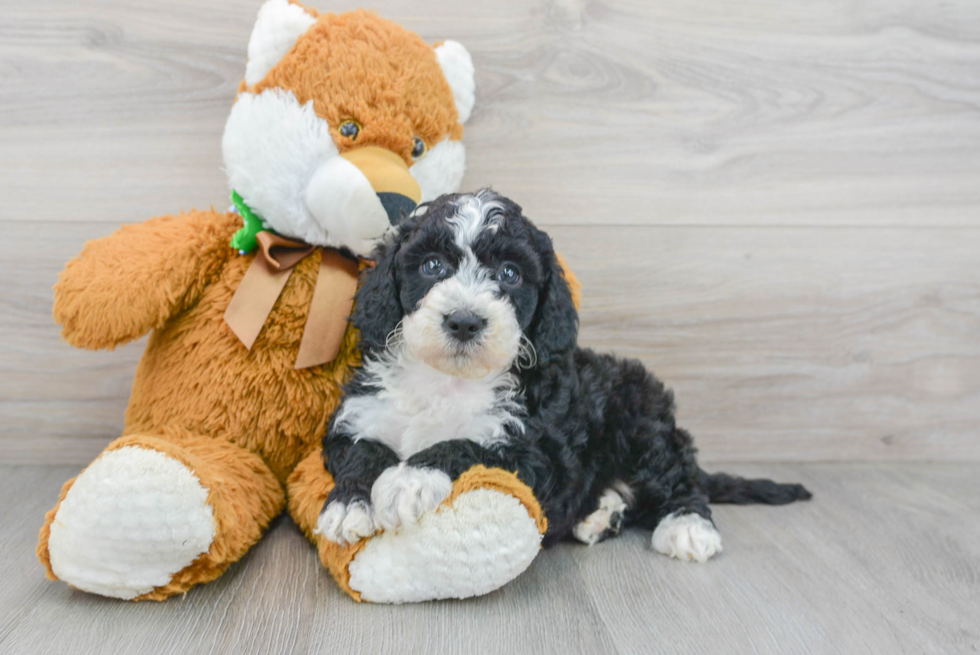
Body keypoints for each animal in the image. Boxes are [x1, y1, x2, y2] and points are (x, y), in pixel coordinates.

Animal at [316, 190, 812, 564]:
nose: (464, 321)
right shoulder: (357, 418)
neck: (448, 379)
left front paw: (410, 479)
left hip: (641, 415)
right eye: (432, 266)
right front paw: (347, 505)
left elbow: (468, 445)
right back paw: (601, 513)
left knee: (675, 473)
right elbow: (362, 451)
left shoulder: (538, 456)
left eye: (510, 274)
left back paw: (687, 525)